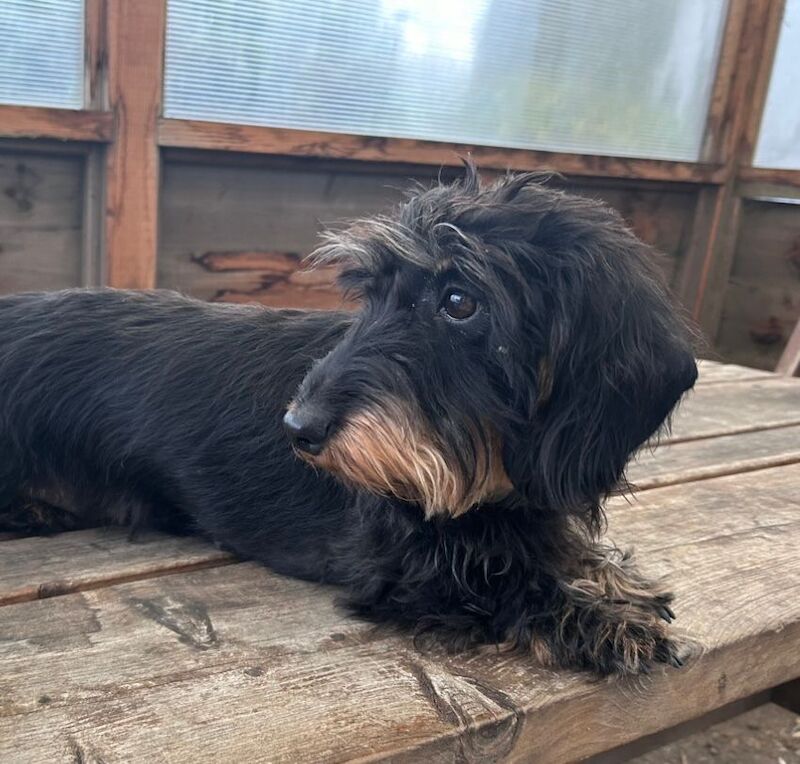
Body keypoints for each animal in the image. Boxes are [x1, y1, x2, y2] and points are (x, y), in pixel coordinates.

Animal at [0, 166, 696, 676]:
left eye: (458, 300)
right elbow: (508, 586)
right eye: (371, 294)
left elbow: (562, 550)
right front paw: (606, 622)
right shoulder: (404, 568)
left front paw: (611, 578)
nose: (296, 429)